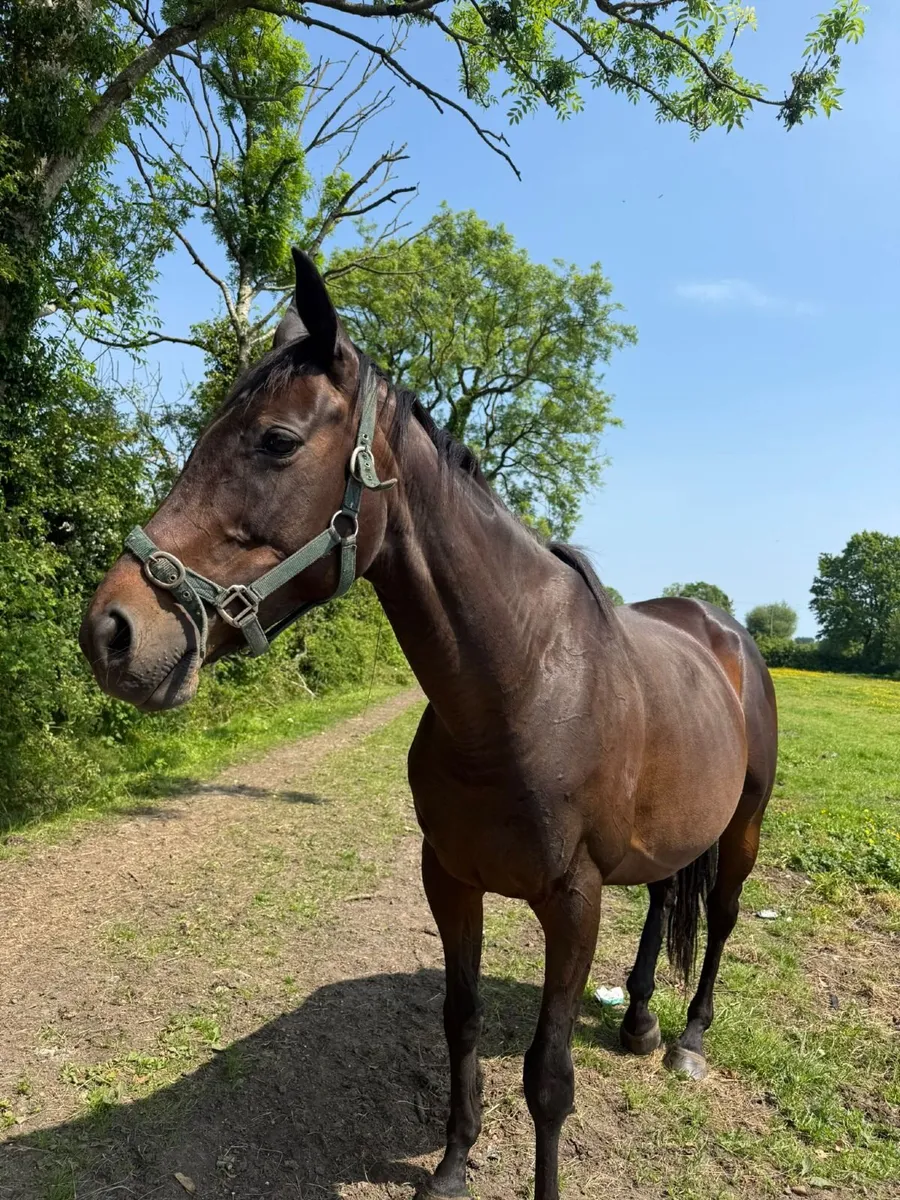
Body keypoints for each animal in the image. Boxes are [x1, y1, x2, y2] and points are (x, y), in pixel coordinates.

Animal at [81, 249, 778, 1200]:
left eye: (276, 441)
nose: (111, 632)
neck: (518, 693)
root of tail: (723, 631)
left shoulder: (574, 900)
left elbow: (549, 1077)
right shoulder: (449, 876)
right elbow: (461, 1019)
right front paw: (452, 1164)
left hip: (742, 827)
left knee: (726, 918)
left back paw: (689, 1040)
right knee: (670, 896)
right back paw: (638, 1022)